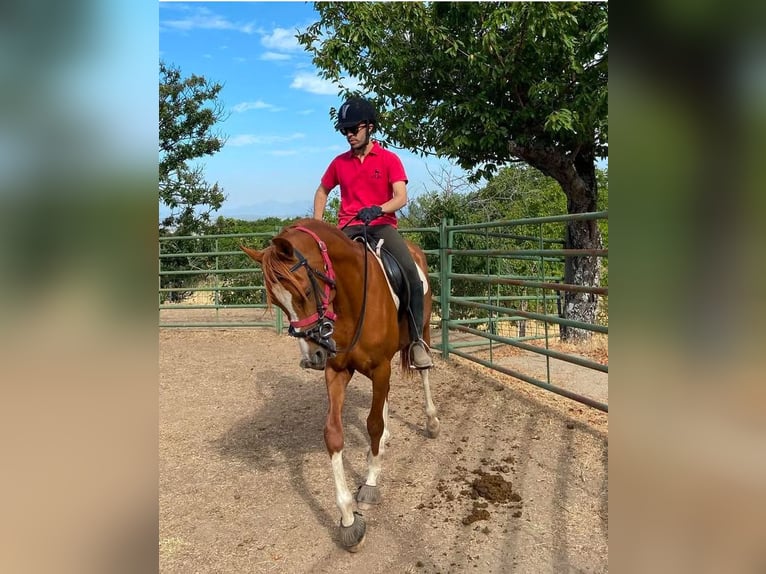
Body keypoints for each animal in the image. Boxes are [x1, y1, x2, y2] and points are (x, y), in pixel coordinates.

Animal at [243, 218, 440, 552]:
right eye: (278, 303)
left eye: (304, 290)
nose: (313, 356)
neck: (351, 299)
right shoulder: (337, 371)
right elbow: (334, 434)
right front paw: (348, 518)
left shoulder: (380, 367)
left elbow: (372, 424)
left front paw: (371, 482)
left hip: (422, 329)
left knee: (423, 372)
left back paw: (431, 421)